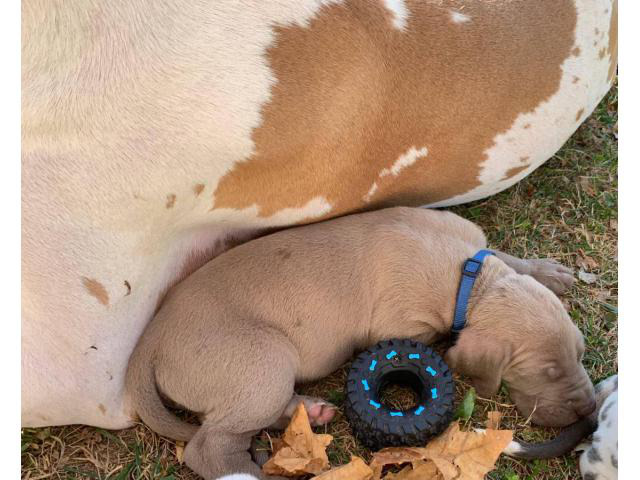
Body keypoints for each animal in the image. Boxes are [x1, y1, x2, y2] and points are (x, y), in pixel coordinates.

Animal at [125, 207, 596, 480]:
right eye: (546, 373)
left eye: (580, 353)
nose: (589, 409)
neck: (468, 278)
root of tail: (148, 342)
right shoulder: (401, 325)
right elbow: (440, 344)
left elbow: (510, 259)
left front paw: (547, 272)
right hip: (262, 360)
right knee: (209, 448)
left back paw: (310, 411)